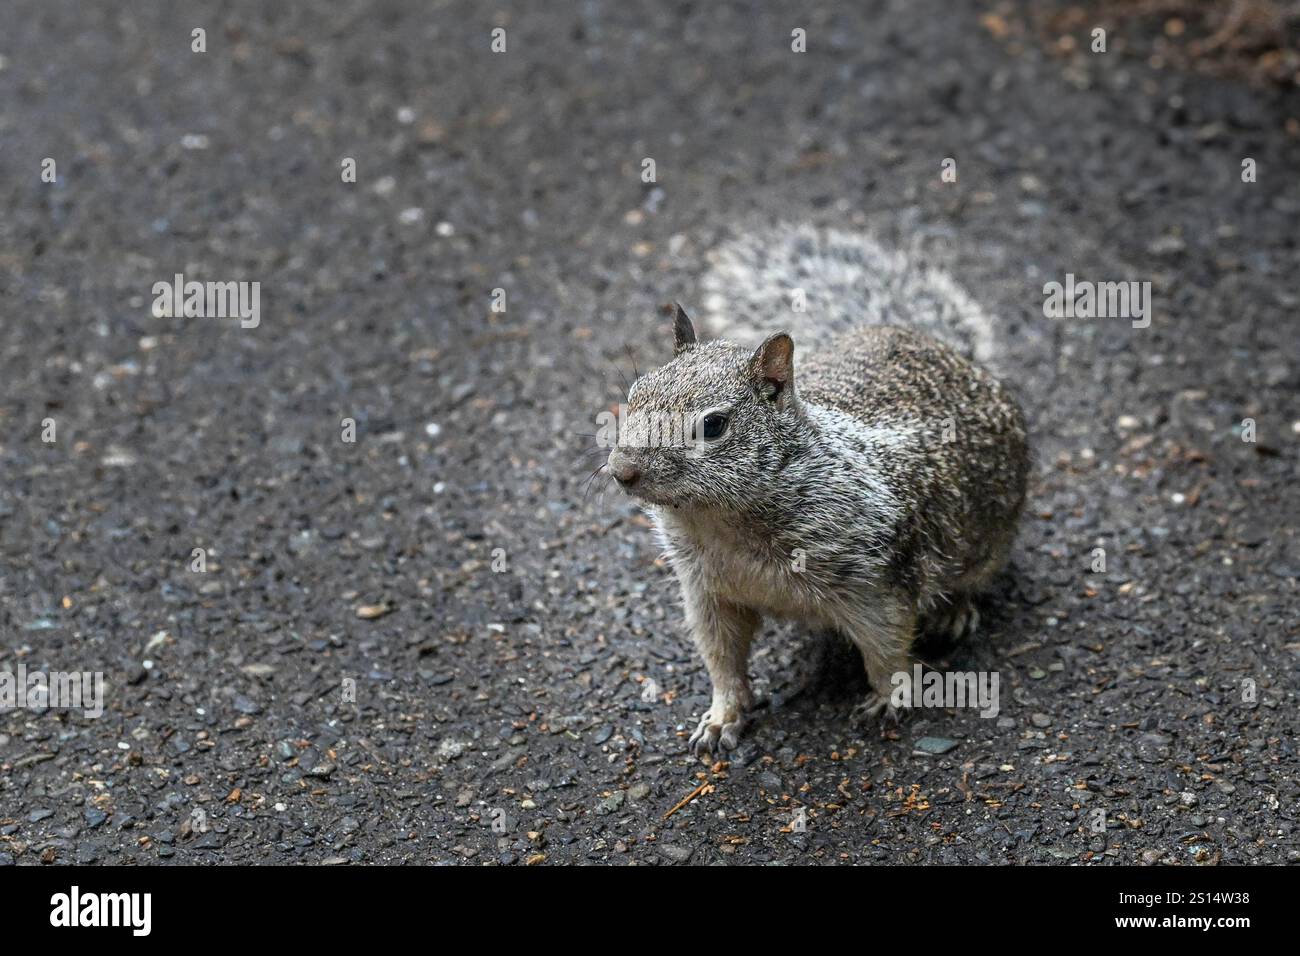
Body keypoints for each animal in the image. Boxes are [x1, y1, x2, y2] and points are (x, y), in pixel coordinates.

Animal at [605, 227, 1024, 759]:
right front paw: (722, 716)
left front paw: (891, 698)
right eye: (634, 392)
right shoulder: (706, 593)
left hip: (989, 539)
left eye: (714, 425)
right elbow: (722, 659)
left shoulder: (876, 582)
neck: (722, 523)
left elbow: (887, 647)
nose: (621, 470)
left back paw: (955, 612)